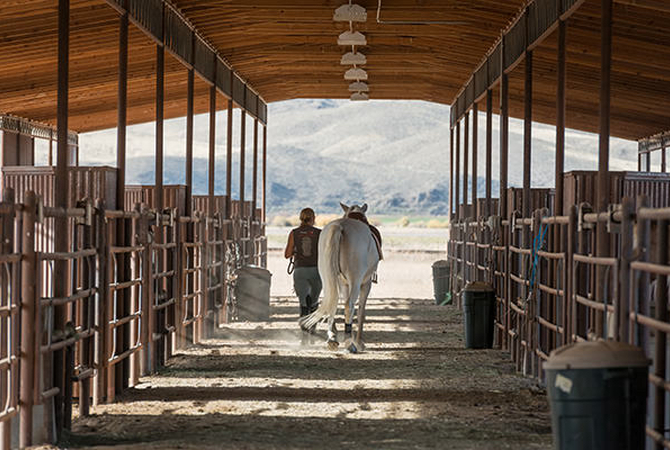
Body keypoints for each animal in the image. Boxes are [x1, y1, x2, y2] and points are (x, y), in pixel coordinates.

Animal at [300, 202, 384, 354]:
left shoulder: (343, 283)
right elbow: (361, 310)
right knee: (349, 305)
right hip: (356, 280)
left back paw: (332, 339)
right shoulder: (366, 283)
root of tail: (340, 227)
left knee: (330, 300)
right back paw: (350, 343)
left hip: (327, 276)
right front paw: (359, 342)